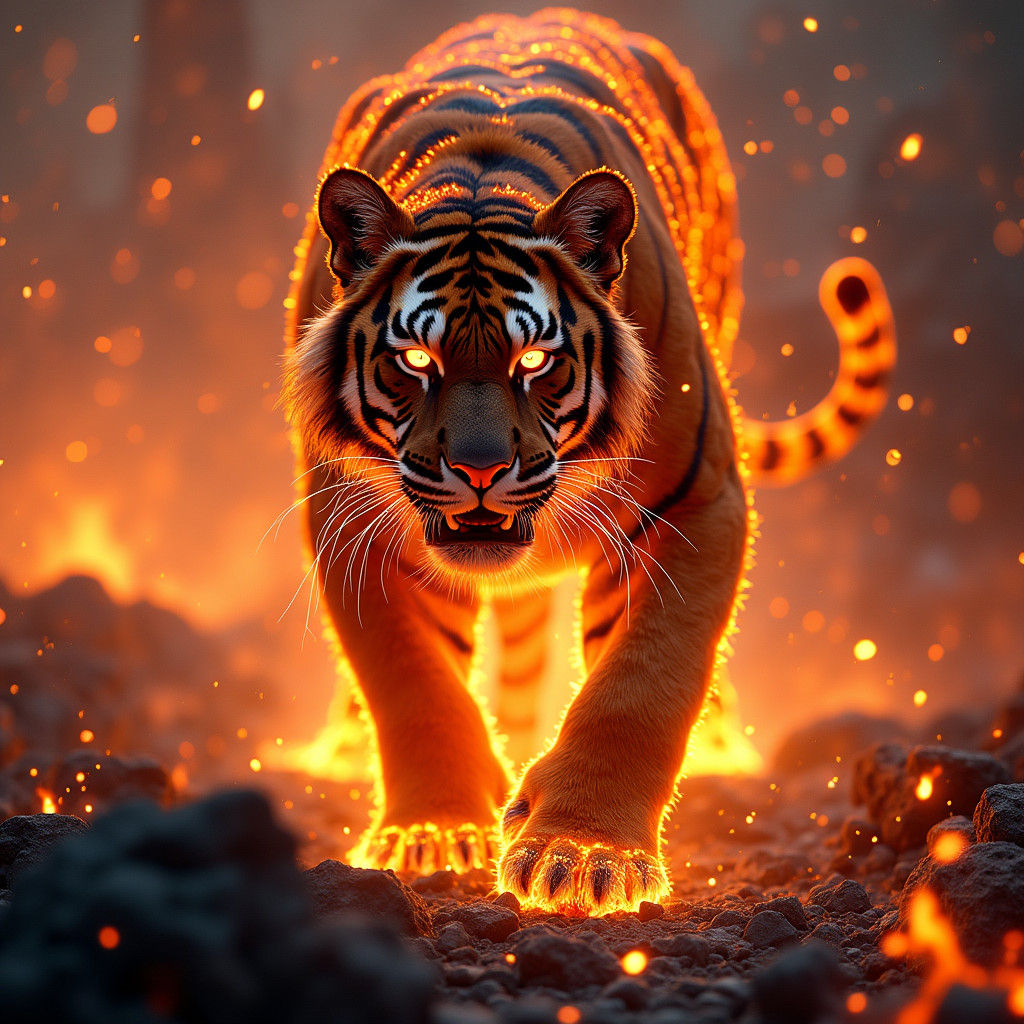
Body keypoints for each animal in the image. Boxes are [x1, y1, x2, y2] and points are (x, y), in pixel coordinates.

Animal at [282, 8, 896, 914]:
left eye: (535, 360)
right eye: (416, 360)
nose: (477, 472)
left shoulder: (693, 507)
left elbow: (640, 685)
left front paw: (584, 853)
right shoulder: (351, 520)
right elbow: (412, 682)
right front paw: (434, 833)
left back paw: (715, 749)